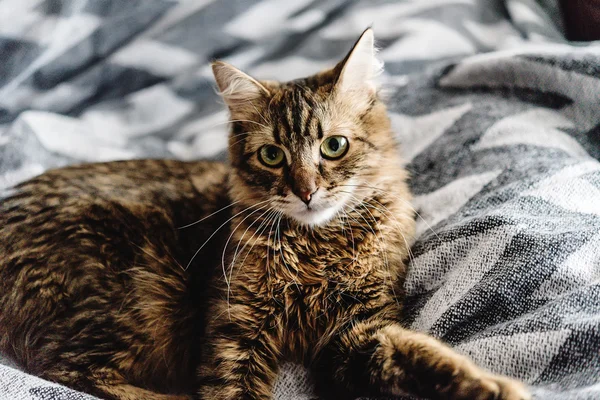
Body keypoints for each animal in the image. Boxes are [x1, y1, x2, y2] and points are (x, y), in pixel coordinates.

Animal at [0, 28, 528, 400]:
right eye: (272, 155)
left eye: (334, 146)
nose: (307, 191)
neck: (317, 251)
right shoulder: (234, 329)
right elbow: (231, 389)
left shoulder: (357, 329)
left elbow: (418, 353)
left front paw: (488, 385)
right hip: (138, 292)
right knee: (70, 368)